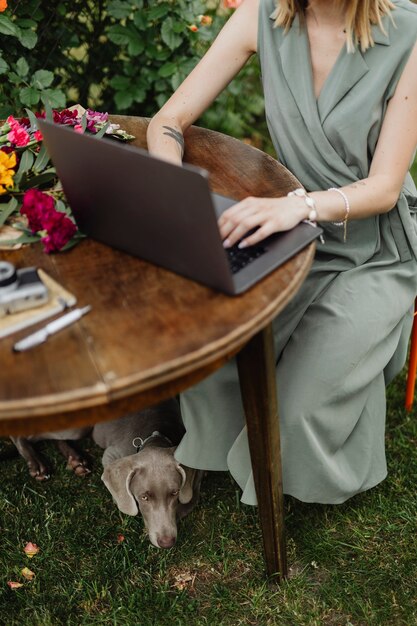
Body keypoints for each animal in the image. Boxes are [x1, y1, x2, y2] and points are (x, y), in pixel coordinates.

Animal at [10, 400, 202, 544]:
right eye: (144, 497)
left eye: (175, 493)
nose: (167, 543)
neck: (157, 434)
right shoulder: (111, 455)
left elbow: (187, 503)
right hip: (80, 426)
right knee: (22, 434)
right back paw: (37, 465)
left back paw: (76, 460)